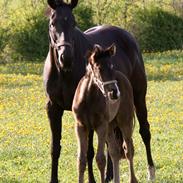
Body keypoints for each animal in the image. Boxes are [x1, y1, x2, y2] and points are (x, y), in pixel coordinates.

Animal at [43, 0, 155, 182]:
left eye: (73, 23)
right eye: (53, 23)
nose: (66, 58)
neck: (63, 73)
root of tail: (128, 36)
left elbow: (89, 150)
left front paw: (92, 179)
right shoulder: (53, 108)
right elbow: (55, 147)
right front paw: (53, 179)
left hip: (138, 97)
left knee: (144, 130)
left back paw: (150, 171)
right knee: (112, 143)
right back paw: (110, 174)